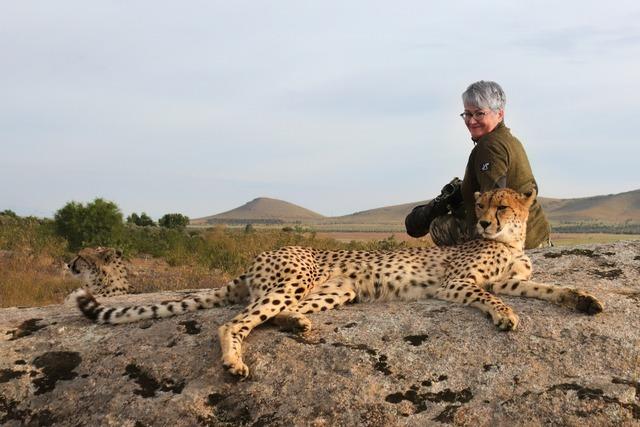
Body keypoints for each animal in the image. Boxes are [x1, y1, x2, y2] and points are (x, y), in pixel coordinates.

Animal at [72, 189, 604, 376]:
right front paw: (505, 317)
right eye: (482, 204)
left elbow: (547, 290)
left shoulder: (515, 280)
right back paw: (234, 362)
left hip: (337, 288)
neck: (509, 243)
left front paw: (583, 300)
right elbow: (487, 296)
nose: (488, 222)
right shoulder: (457, 285)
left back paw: (297, 327)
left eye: (503, 205)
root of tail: (259, 254)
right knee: (233, 322)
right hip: (293, 280)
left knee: (277, 315)